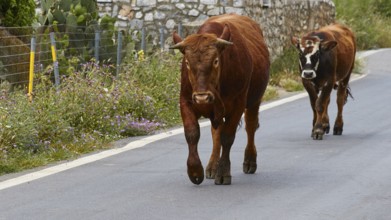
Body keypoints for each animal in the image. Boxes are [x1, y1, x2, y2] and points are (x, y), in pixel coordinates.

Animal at [170, 13, 272, 185]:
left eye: (216, 61)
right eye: (187, 63)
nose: (202, 97)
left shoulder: (238, 105)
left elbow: (227, 136)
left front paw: (223, 172)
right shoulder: (185, 101)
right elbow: (192, 133)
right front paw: (195, 171)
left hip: (254, 100)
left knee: (250, 127)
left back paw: (249, 161)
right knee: (215, 132)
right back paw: (212, 166)